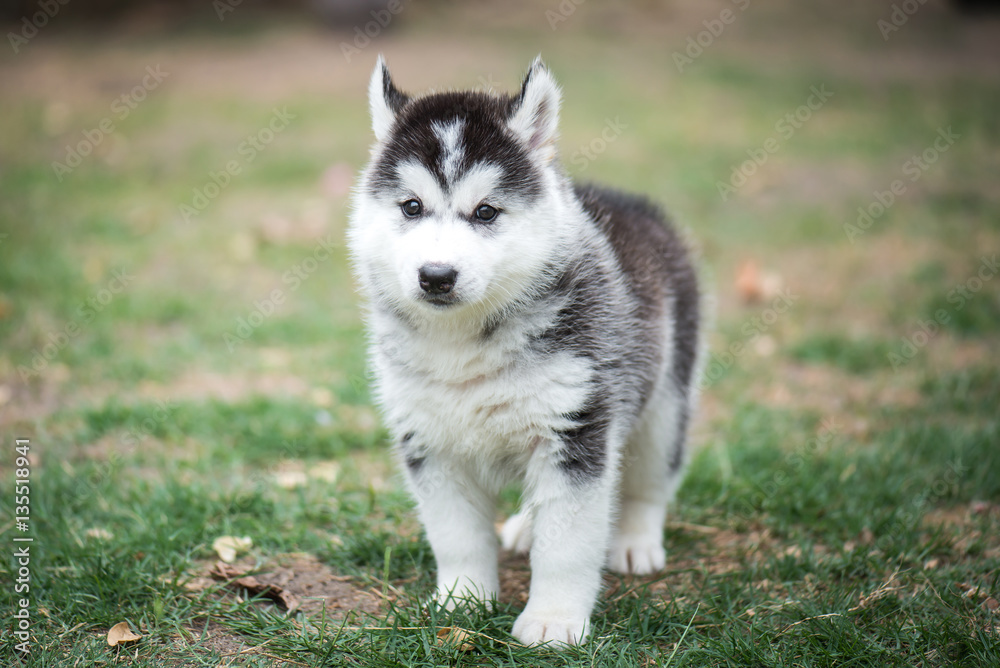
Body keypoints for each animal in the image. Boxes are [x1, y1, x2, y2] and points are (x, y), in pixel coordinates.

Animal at [348, 57, 700, 648]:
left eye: (487, 212)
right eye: (412, 207)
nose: (436, 276)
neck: (464, 340)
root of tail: (628, 201)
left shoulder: (575, 430)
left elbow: (567, 544)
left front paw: (554, 621)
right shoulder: (428, 440)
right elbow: (457, 535)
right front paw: (463, 599)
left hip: (666, 398)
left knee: (652, 478)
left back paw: (635, 540)